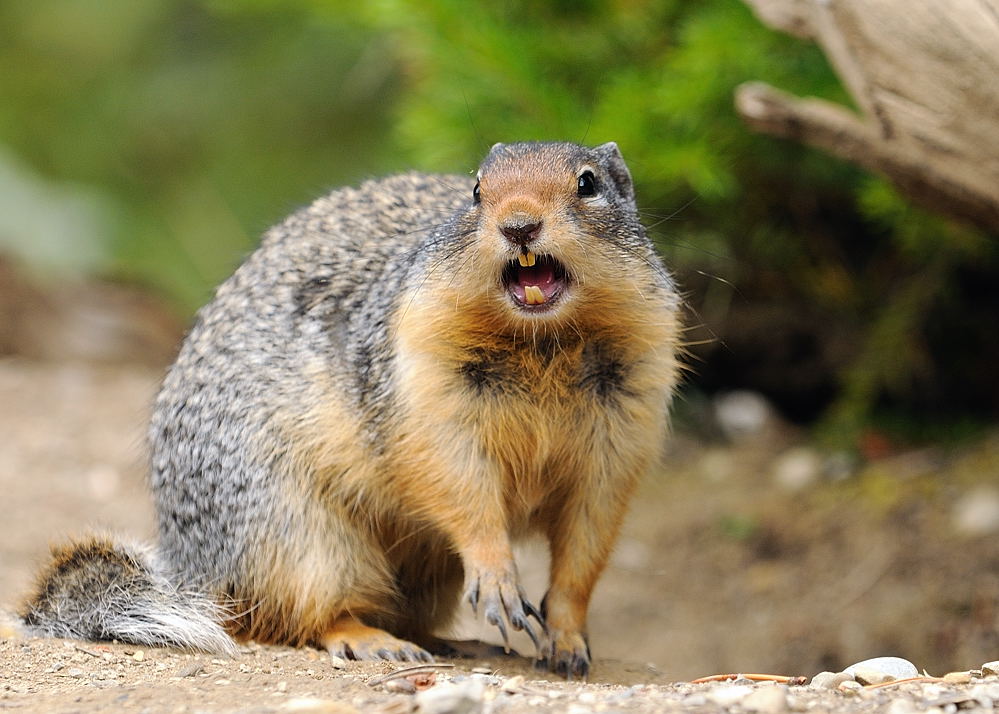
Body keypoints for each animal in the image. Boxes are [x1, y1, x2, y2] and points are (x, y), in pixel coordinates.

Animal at [19, 141, 681, 678]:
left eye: (588, 183)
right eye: (476, 191)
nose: (519, 225)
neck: (541, 342)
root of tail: (194, 568)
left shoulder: (624, 423)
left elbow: (587, 542)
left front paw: (567, 640)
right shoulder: (425, 391)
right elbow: (458, 485)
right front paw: (497, 578)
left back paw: (453, 643)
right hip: (297, 535)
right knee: (305, 615)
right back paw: (372, 639)